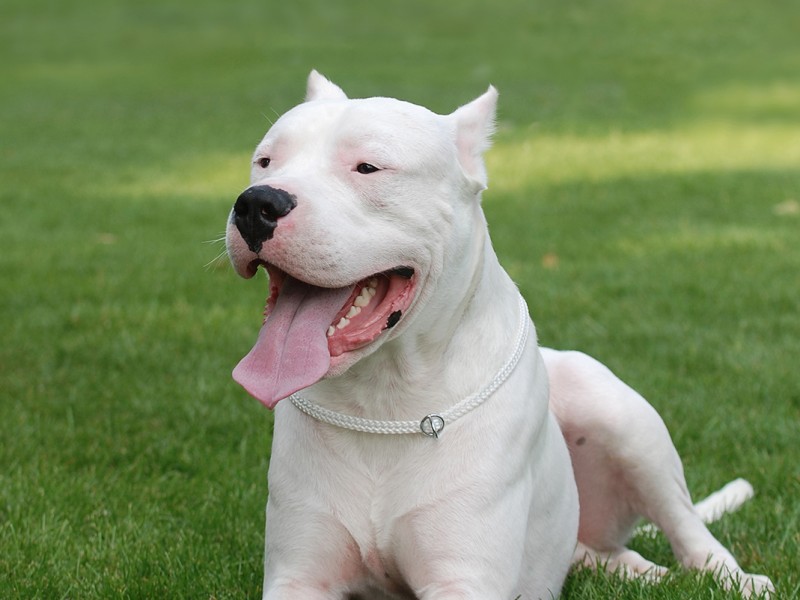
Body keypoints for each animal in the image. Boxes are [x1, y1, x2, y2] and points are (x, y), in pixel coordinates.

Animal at [225, 71, 776, 600]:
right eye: (265, 161)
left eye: (367, 168)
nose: (256, 203)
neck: (384, 400)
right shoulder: (300, 577)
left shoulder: (465, 581)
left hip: (619, 414)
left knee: (687, 527)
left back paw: (732, 578)